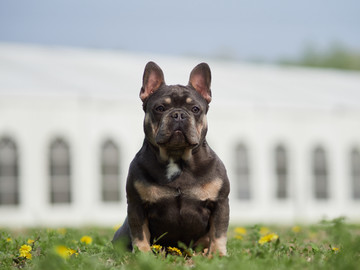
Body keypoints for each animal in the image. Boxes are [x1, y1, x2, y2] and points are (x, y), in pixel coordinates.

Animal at [112, 61, 229, 258]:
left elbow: (218, 233)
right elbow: (139, 234)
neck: (177, 157)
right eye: (160, 108)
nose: (178, 114)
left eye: (195, 109)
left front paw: (217, 255)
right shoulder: (136, 205)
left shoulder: (220, 203)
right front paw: (144, 255)